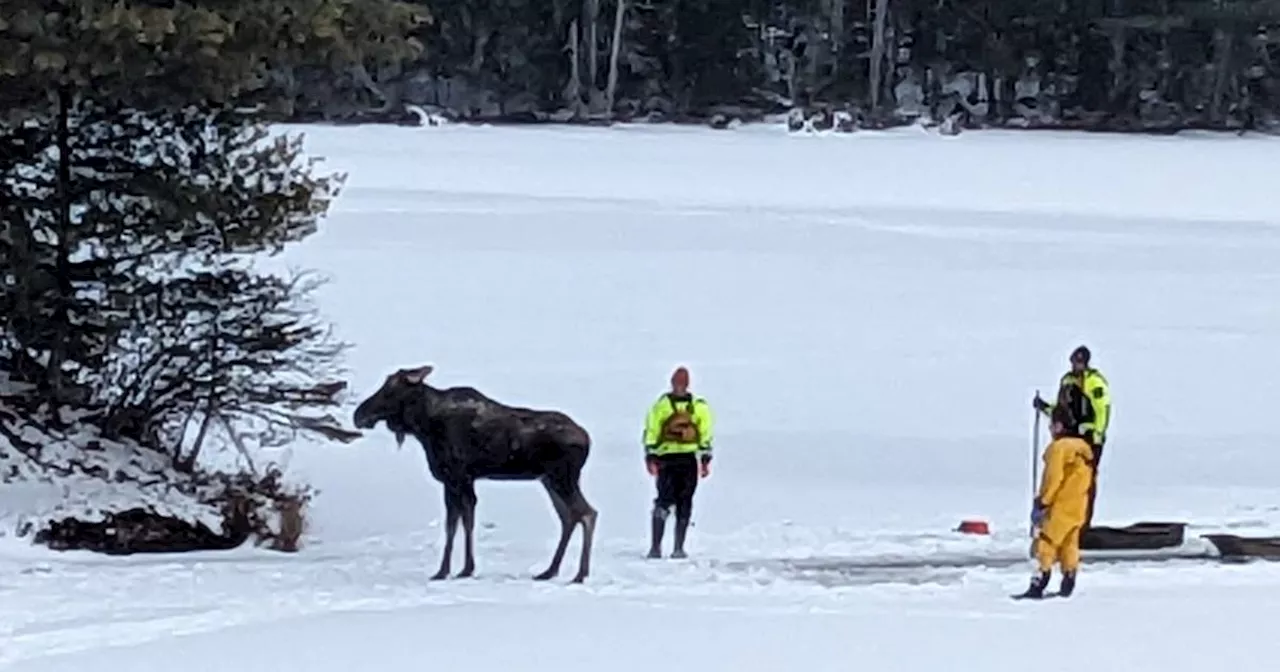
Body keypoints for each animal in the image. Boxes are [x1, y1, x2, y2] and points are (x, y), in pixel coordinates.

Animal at [353, 363, 596, 578]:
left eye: (390, 389)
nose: (358, 415)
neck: (425, 426)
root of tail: (587, 439)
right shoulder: (459, 480)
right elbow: (462, 522)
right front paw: (460, 568)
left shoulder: (456, 477)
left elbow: (457, 524)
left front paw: (451, 570)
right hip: (549, 480)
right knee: (569, 517)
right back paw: (550, 571)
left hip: (562, 478)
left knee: (586, 513)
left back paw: (579, 574)